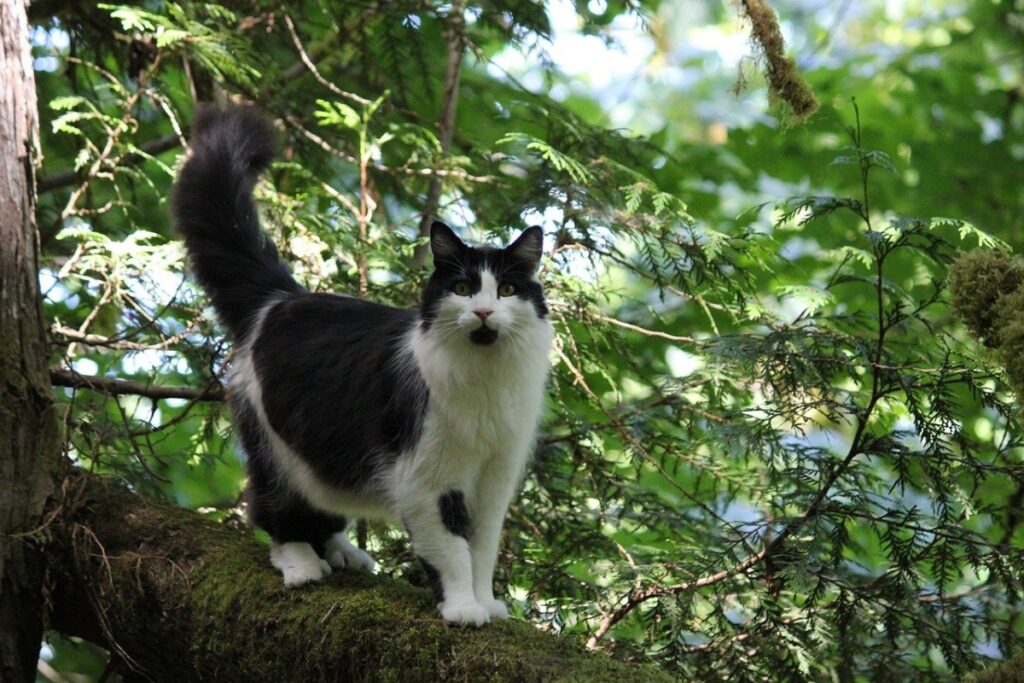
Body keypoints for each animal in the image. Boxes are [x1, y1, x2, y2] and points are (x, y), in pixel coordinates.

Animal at [172, 107, 552, 626]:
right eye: (462, 287)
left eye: (508, 290)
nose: (482, 311)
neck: (486, 380)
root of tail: (281, 301)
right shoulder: (425, 479)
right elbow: (453, 551)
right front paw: (461, 608)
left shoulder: (496, 478)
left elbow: (483, 549)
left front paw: (486, 602)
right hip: (274, 445)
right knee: (273, 511)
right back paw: (302, 564)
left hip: (326, 453)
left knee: (322, 512)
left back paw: (343, 552)